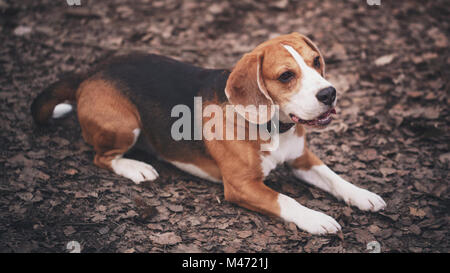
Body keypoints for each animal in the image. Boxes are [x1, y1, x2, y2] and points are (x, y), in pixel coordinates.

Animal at [30, 32, 386, 234]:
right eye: (286, 76)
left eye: (316, 61)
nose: (329, 94)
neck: (274, 127)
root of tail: (90, 72)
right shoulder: (242, 186)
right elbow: (285, 199)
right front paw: (316, 218)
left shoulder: (302, 158)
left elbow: (333, 177)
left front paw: (362, 194)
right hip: (124, 123)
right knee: (101, 157)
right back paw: (136, 167)